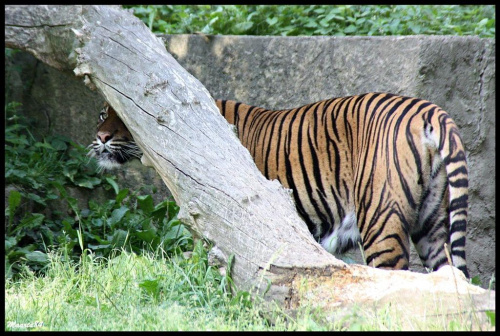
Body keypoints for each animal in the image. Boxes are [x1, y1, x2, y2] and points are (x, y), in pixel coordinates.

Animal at [90, 92, 468, 278]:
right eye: (103, 113)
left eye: (124, 118)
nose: (102, 137)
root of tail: (430, 111)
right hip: (432, 224)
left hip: (381, 220)